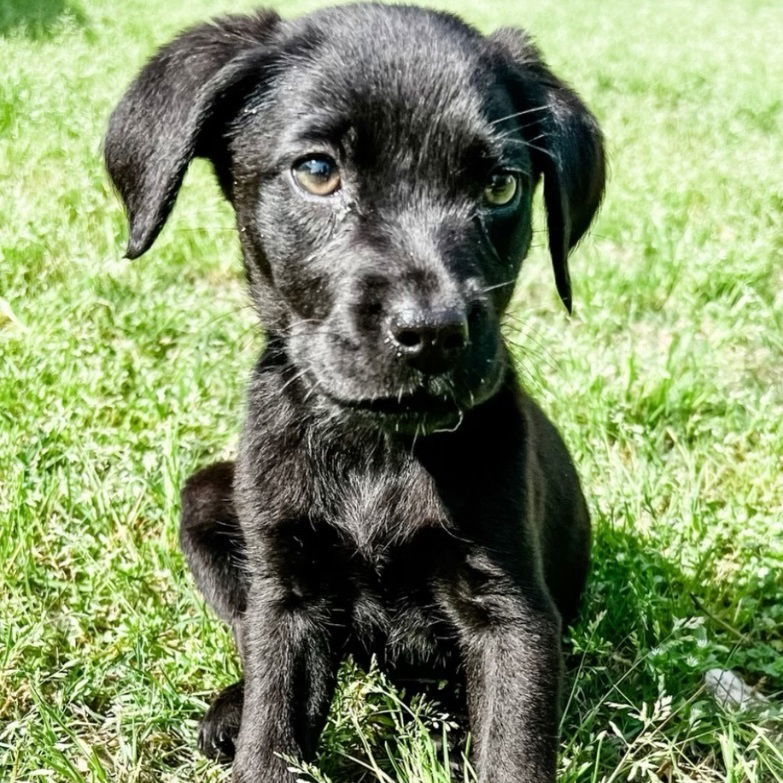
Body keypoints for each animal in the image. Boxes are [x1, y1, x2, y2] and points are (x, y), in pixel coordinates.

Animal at [105, 4, 608, 776]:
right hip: (209, 497)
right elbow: (272, 728)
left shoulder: (512, 612)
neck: (377, 449)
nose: (433, 332)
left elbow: (513, 751)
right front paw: (252, 732)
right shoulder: (287, 595)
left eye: (501, 187)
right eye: (317, 171)